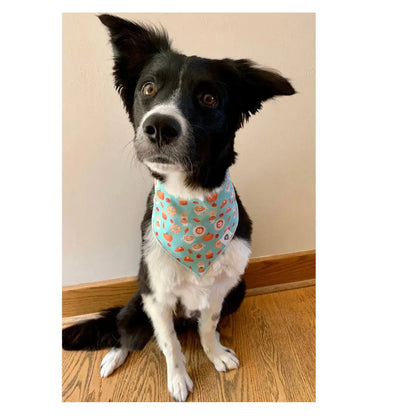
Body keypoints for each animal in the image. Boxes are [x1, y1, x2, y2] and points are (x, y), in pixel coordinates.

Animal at [62, 14, 294, 402]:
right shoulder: (156, 296)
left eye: (209, 98)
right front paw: (178, 379)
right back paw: (112, 358)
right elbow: (169, 344)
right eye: (148, 88)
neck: (192, 200)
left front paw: (215, 354)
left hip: (239, 291)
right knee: (124, 333)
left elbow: (208, 327)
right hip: (136, 306)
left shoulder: (221, 290)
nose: (158, 126)